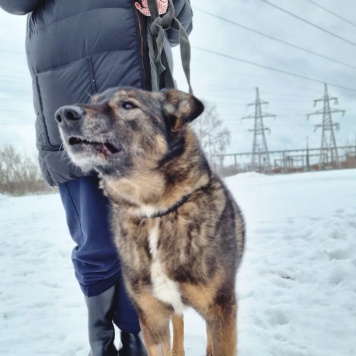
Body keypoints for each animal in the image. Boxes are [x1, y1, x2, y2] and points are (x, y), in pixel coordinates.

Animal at [55, 87, 245, 356]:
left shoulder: (221, 311)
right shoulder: (152, 319)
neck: (154, 212)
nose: (63, 114)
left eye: (127, 105)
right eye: (93, 100)